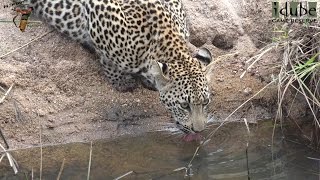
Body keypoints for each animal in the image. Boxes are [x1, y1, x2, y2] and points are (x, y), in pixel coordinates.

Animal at [16, 0, 214, 136]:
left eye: (205, 103)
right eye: (184, 105)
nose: (199, 131)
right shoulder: (97, 13)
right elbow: (108, 61)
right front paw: (122, 82)